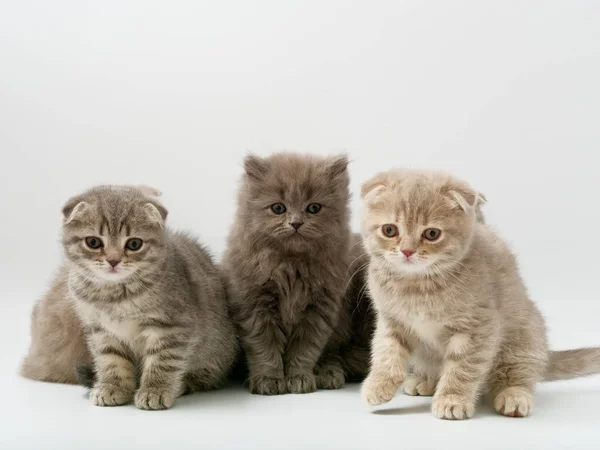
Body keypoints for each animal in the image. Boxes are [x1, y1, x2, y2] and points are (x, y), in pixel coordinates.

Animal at [54, 185, 237, 410]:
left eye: (134, 244)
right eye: (93, 242)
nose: (113, 260)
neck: (114, 296)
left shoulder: (172, 327)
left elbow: (162, 361)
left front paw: (154, 391)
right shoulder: (101, 330)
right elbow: (111, 360)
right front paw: (112, 387)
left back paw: (182, 385)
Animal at [221, 154, 370, 394]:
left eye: (314, 208)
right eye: (278, 208)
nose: (296, 223)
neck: (292, 266)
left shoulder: (319, 311)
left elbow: (305, 351)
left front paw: (299, 378)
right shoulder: (255, 307)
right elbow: (265, 349)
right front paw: (269, 380)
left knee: (333, 355)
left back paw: (328, 374)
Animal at [358, 168, 600, 418]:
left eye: (432, 234)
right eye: (389, 230)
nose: (407, 251)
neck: (417, 287)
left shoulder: (477, 327)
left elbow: (463, 367)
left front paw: (452, 399)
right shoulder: (391, 321)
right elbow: (386, 353)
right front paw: (378, 385)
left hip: (524, 338)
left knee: (519, 372)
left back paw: (514, 396)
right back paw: (425, 380)